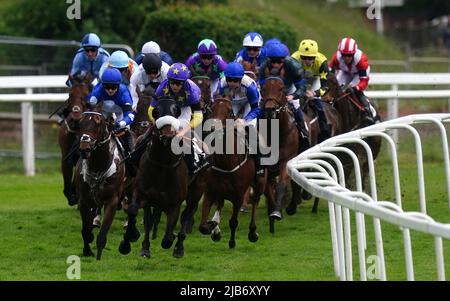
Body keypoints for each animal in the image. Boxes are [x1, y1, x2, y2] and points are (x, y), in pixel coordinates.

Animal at [75, 109, 125, 258]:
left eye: (98, 124)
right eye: (80, 123)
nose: (84, 148)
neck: (98, 167)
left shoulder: (112, 200)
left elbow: (102, 234)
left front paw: (98, 256)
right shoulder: (84, 200)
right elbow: (85, 230)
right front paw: (87, 250)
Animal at [118, 97, 206, 256]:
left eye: (176, 111)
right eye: (156, 111)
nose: (168, 135)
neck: (162, 164)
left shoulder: (175, 203)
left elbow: (167, 240)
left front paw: (173, 239)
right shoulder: (142, 194)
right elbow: (133, 211)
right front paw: (128, 241)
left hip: (197, 190)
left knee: (187, 214)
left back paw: (179, 246)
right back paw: (146, 247)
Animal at [198, 97, 268, 247]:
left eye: (230, 112)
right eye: (211, 109)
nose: (213, 128)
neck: (226, 162)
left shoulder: (238, 196)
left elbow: (233, 222)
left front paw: (231, 241)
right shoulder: (210, 191)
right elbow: (202, 227)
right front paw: (213, 226)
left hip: (260, 183)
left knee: (255, 201)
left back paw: (252, 232)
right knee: (220, 203)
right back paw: (216, 228)